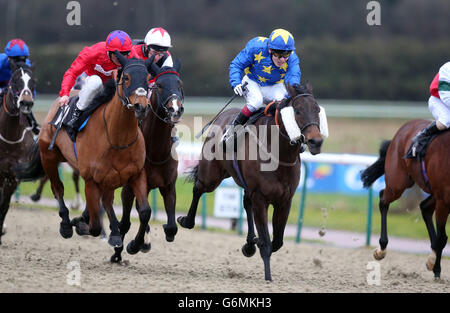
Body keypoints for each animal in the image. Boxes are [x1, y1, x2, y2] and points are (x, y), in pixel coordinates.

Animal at [15, 52, 154, 250]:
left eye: (149, 77)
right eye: (126, 77)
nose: (141, 107)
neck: (117, 138)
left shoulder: (136, 174)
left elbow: (144, 211)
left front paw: (135, 243)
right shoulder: (91, 180)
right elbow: (94, 226)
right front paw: (80, 224)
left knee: (106, 201)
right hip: (49, 156)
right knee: (58, 188)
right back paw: (66, 224)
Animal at [109, 59, 185, 262]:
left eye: (179, 84)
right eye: (159, 85)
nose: (175, 109)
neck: (156, 151)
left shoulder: (169, 185)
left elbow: (172, 226)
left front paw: (159, 233)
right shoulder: (133, 183)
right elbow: (140, 214)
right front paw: (133, 245)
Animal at [178, 83, 322, 280]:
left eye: (317, 109)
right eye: (298, 111)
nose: (316, 141)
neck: (279, 154)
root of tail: (224, 114)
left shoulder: (285, 200)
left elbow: (277, 241)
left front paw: (253, 244)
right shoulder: (260, 197)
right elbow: (267, 242)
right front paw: (268, 277)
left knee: (246, 202)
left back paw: (249, 244)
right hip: (211, 175)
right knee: (198, 188)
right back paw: (186, 221)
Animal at [362, 119, 450, 278]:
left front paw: (434, 264)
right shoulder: (444, 200)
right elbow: (442, 237)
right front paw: (431, 262)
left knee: (425, 207)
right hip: (398, 183)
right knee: (383, 199)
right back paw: (381, 249)